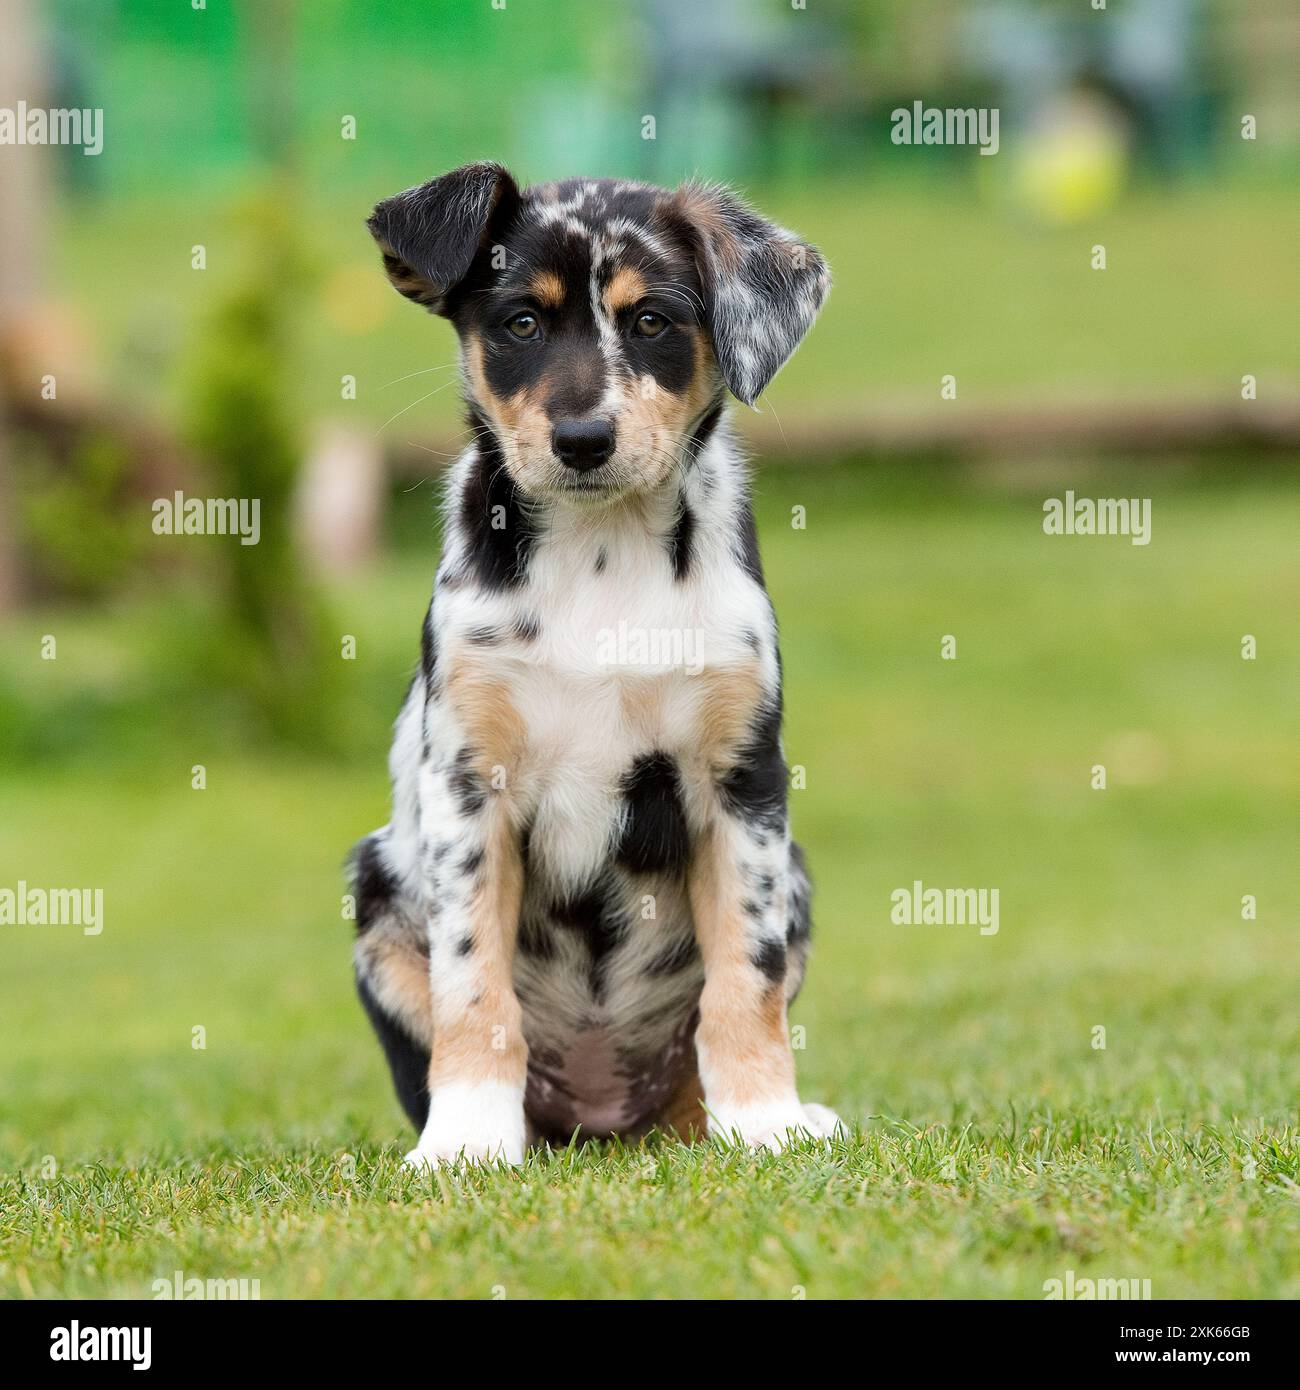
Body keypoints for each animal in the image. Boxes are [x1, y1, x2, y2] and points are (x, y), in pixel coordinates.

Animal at [353, 162, 845, 1162]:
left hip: (800, 876)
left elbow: (748, 978)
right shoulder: (467, 783)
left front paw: (766, 1121)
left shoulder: (742, 781)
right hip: (377, 892)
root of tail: (604, 1122)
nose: (583, 441)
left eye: (651, 321)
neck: (602, 554)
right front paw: (465, 1142)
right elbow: (474, 986)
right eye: (519, 324)